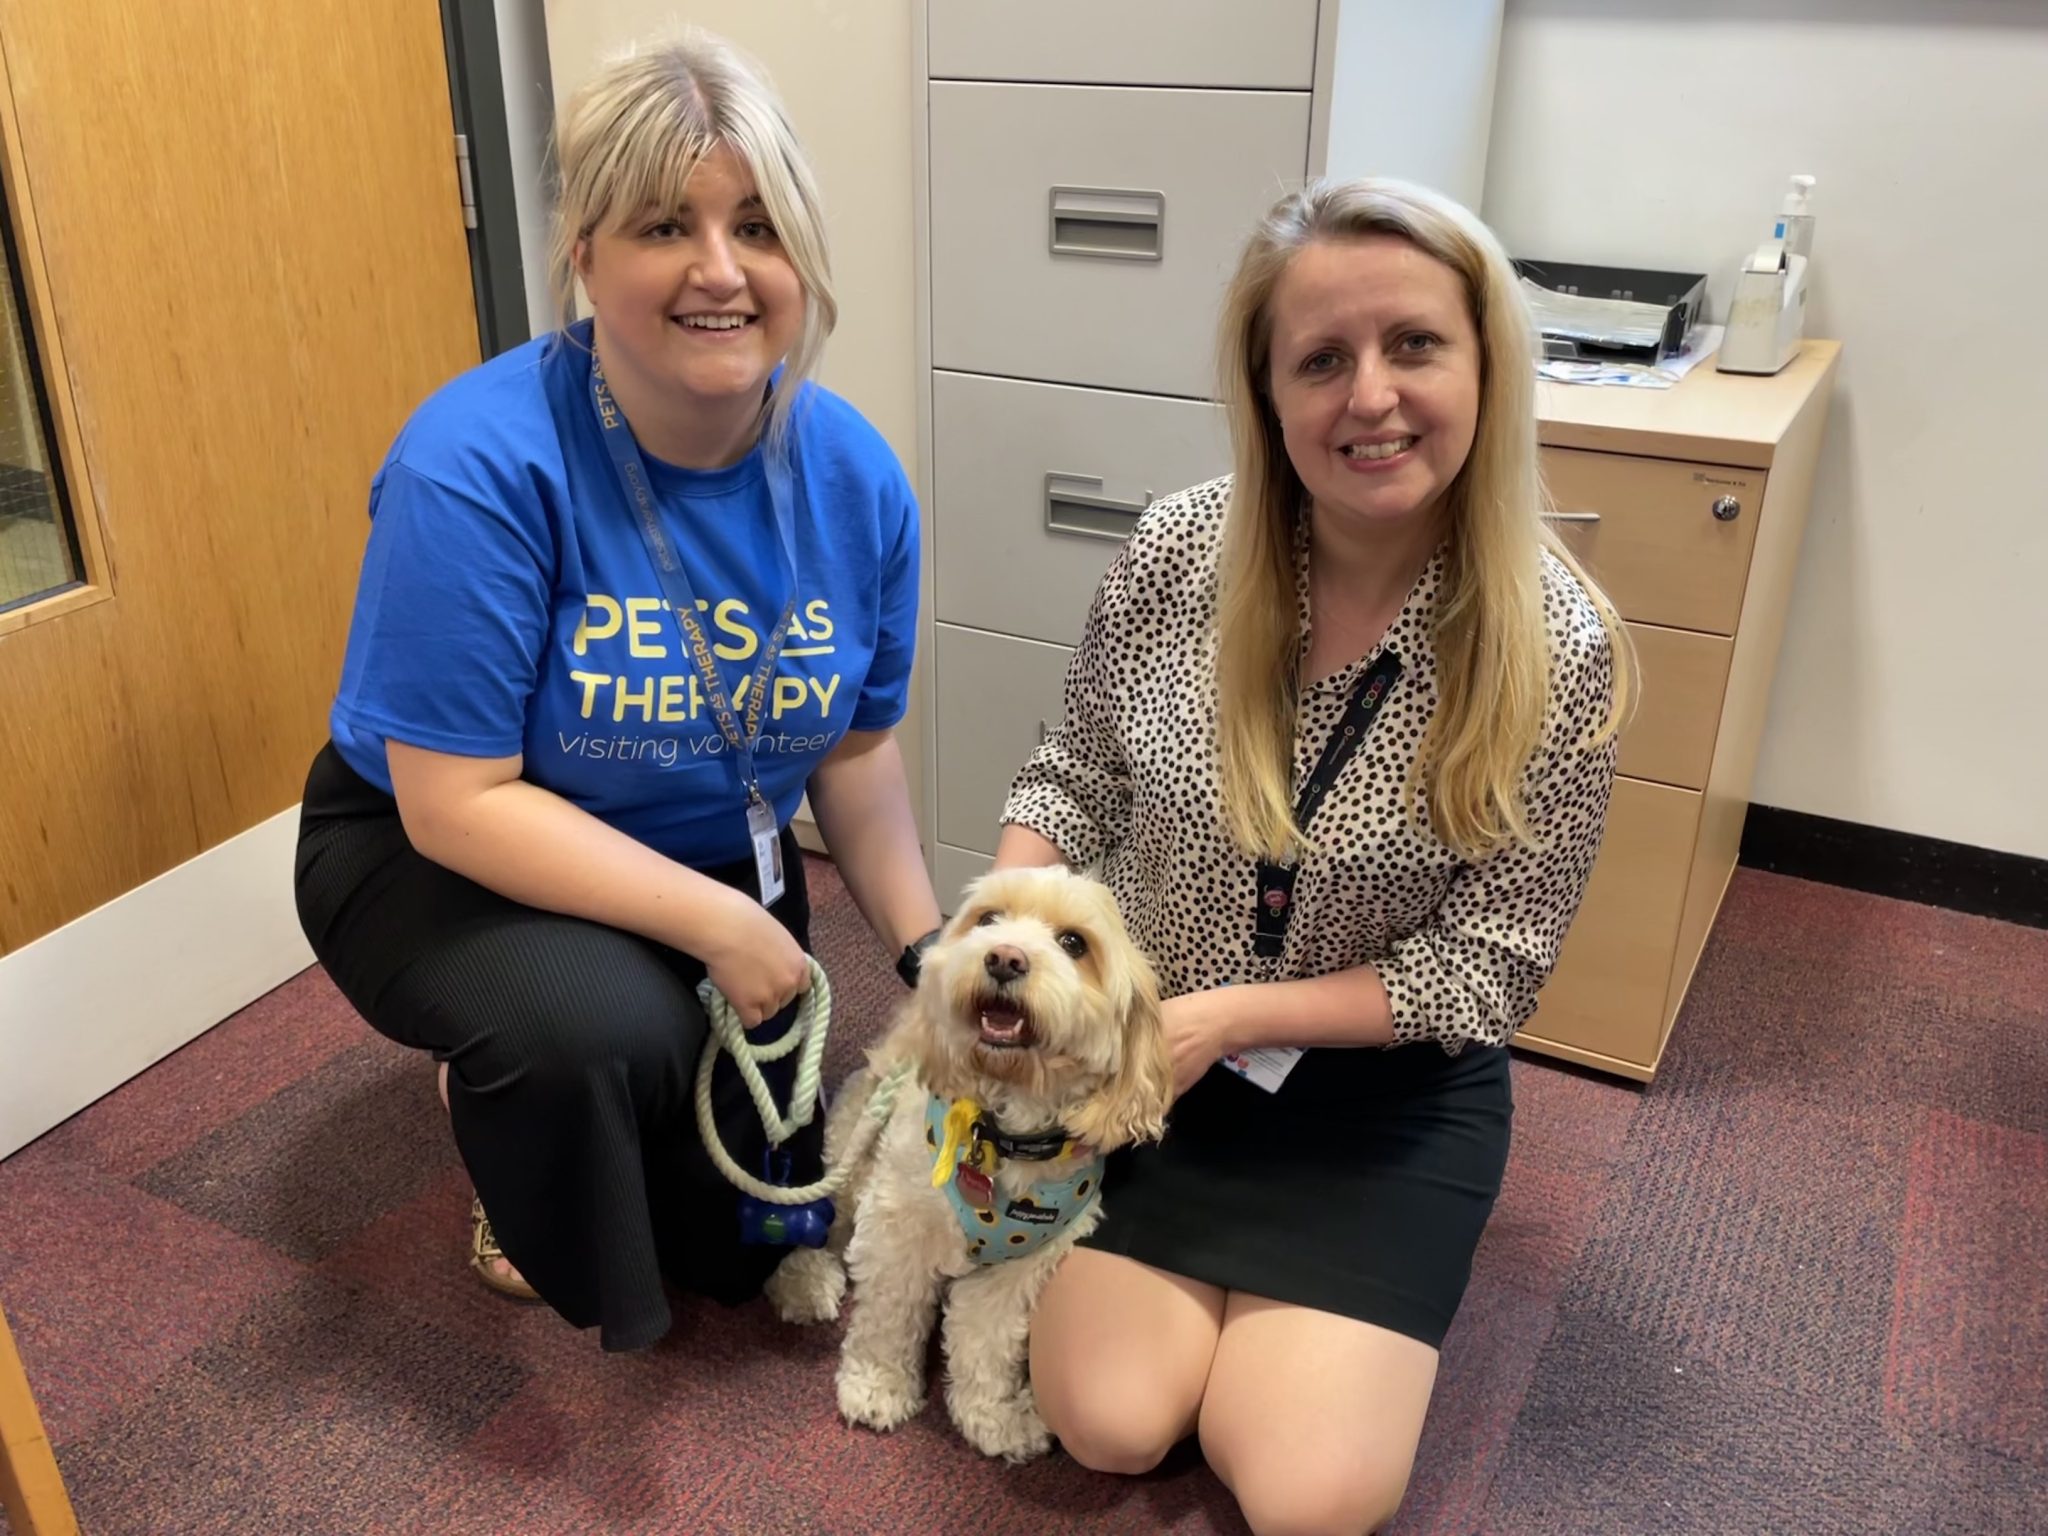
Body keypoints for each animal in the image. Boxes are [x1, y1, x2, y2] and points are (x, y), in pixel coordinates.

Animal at [770, 872, 1179, 1458]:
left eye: (1074, 944)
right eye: (988, 918)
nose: (1004, 958)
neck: (1004, 1135)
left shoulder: (1017, 1271)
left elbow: (985, 1343)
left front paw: (994, 1417)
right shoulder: (898, 1225)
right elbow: (888, 1314)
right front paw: (877, 1385)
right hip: (853, 1146)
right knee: (824, 1221)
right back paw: (803, 1281)